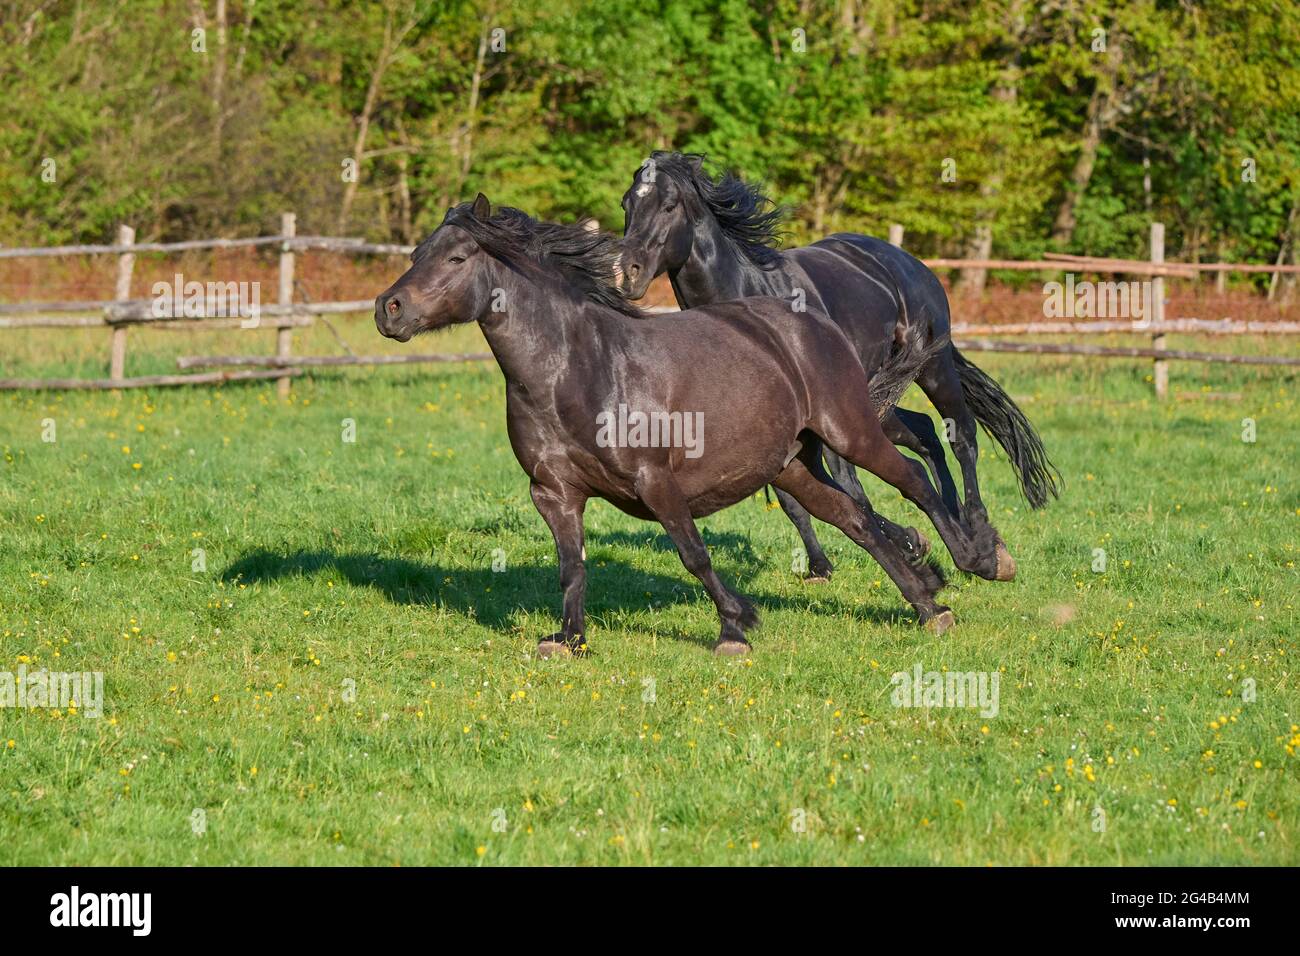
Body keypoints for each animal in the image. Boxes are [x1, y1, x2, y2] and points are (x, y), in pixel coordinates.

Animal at [377, 195, 1003, 658]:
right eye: (418, 251)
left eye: (458, 258)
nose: (389, 309)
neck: (578, 368)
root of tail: (814, 322)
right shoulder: (553, 493)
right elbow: (571, 567)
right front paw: (569, 639)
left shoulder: (655, 482)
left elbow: (693, 554)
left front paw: (734, 628)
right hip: (792, 464)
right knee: (854, 518)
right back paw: (927, 604)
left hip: (851, 431)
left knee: (917, 475)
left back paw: (975, 561)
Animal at [618, 152, 1055, 582]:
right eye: (627, 204)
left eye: (669, 206)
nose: (628, 272)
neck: (747, 296)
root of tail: (909, 262)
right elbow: (801, 497)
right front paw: (833, 563)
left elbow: (848, 487)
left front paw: (917, 549)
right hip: (878, 399)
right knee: (925, 434)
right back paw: (957, 525)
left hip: (932, 368)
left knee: (960, 434)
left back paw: (986, 547)